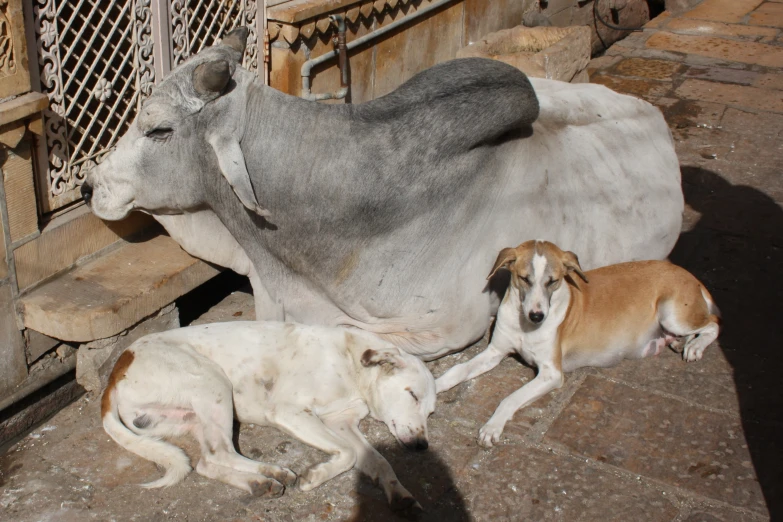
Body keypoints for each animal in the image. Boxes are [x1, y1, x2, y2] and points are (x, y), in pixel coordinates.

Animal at [101, 318, 438, 510]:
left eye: (431, 412)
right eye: (412, 394)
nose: (422, 446)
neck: (351, 360)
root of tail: (117, 369)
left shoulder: (341, 423)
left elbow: (378, 461)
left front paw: (399, 492)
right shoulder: (290, 412)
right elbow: (348, 454)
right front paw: (315, 477)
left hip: (194, 416)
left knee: (206, 462)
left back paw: (258, 482)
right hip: (213, 382)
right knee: (220, 453)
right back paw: (272, 473)